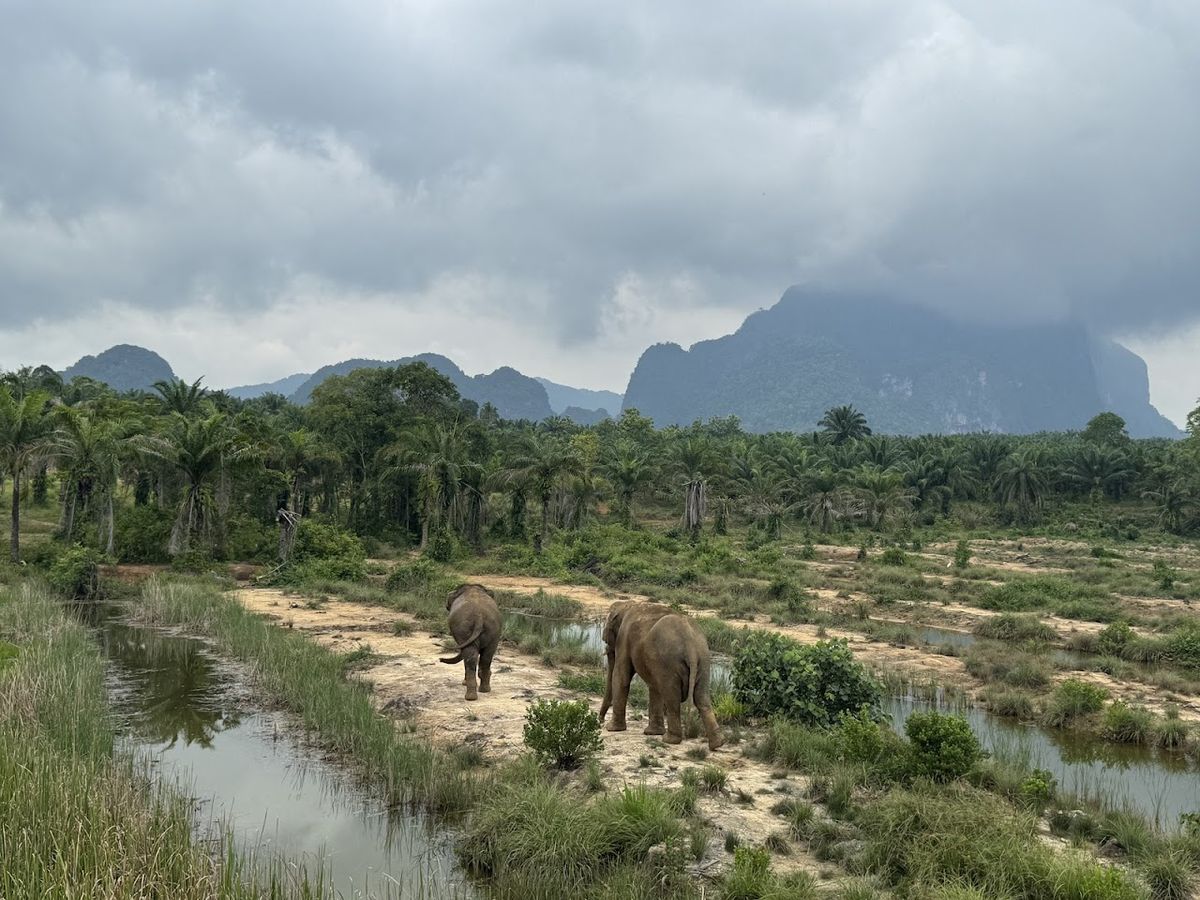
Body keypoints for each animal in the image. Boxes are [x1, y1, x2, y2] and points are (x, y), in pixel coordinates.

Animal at [600, 601, 724, 750]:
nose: (600, 721)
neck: (627, 604)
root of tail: (691, 646)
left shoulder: (624, 638)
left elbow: (621, 677)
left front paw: (612, 729)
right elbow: (654, 686)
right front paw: (652, 733)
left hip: (670, 662)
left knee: (672, 698)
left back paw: (670, 740)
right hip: (704, 660)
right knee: (701, 698)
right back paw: (717, 743)